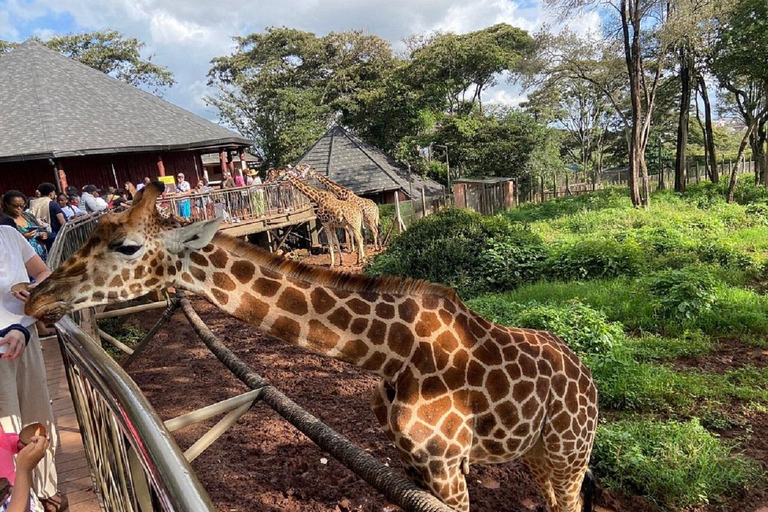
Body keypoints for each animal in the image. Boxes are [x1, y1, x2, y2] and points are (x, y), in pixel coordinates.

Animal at [25, 182, 599, 512]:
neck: (391, 353)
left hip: (570, 451)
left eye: (127, 246)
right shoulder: (412, 460)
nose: (36, 298)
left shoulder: (445, 462)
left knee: (569, 502)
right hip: (538, 453)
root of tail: (587, 375)